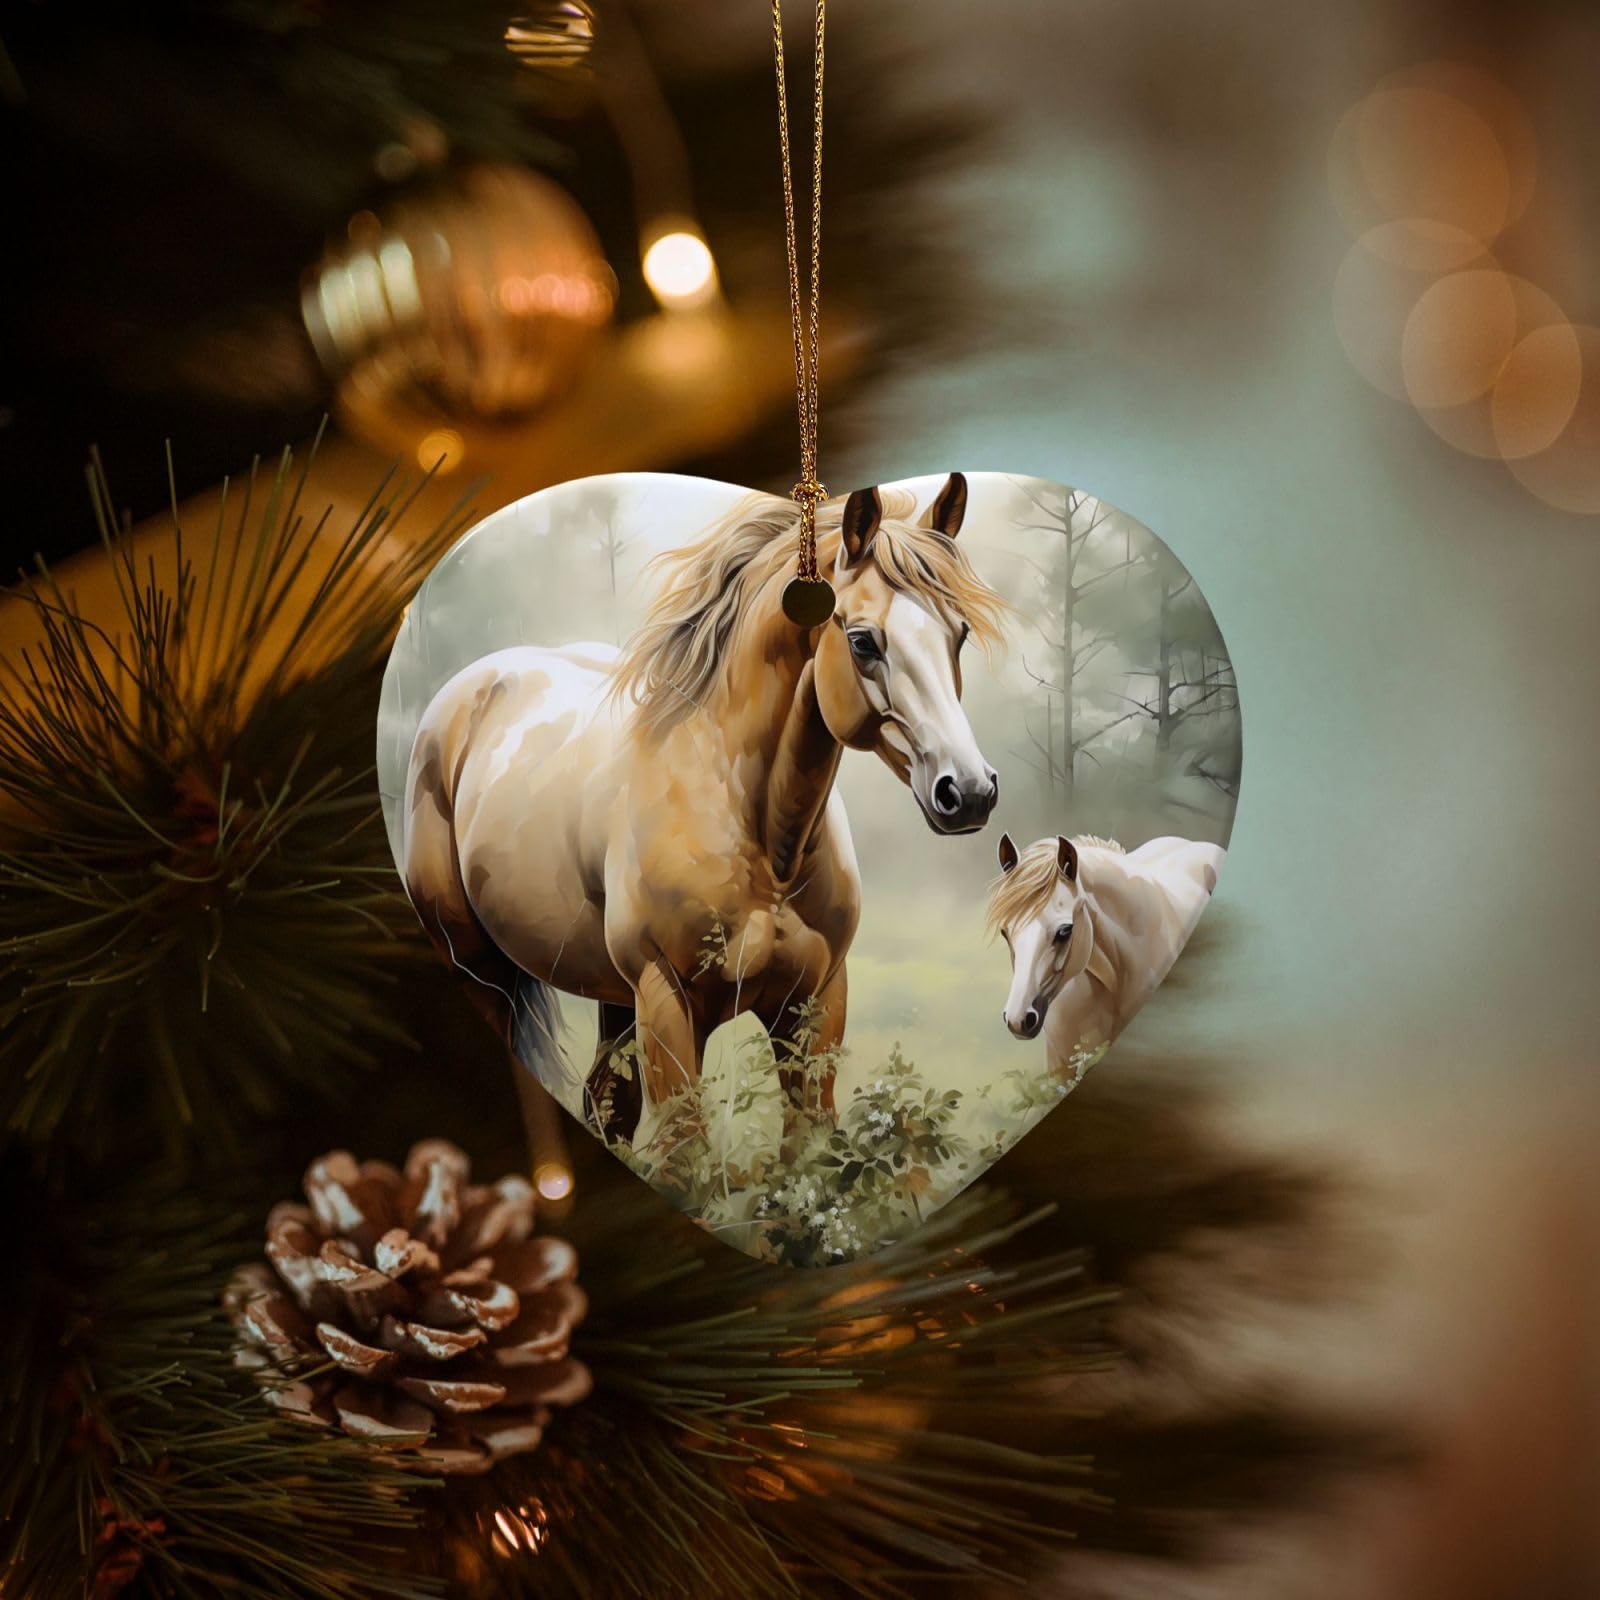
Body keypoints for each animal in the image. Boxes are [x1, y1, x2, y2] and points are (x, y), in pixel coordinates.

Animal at [401, 474, 1009, 1146]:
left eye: (958, 635)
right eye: (862, 641)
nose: (969, 790)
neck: (759, 837)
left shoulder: (815, 1004)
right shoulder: (666, 1002)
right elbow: (687, 1147)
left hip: (613, 998)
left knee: (606, 1104)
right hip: (479, 968)